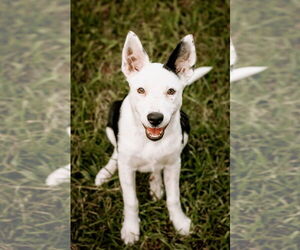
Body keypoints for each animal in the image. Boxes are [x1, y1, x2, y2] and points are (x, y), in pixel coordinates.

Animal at [95, 31, 212, 244]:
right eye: (140, 90)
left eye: (171, 91)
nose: (155, 118)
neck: (149, 140)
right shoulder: (127, 169)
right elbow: (131, 201)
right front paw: (130, 229)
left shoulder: (174, 164)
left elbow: (174, 198)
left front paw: (179, 222)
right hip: (112, 115)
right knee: (116, 152)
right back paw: (106, 172)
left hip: (186, 126)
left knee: (156, 167)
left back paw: (156, 184)